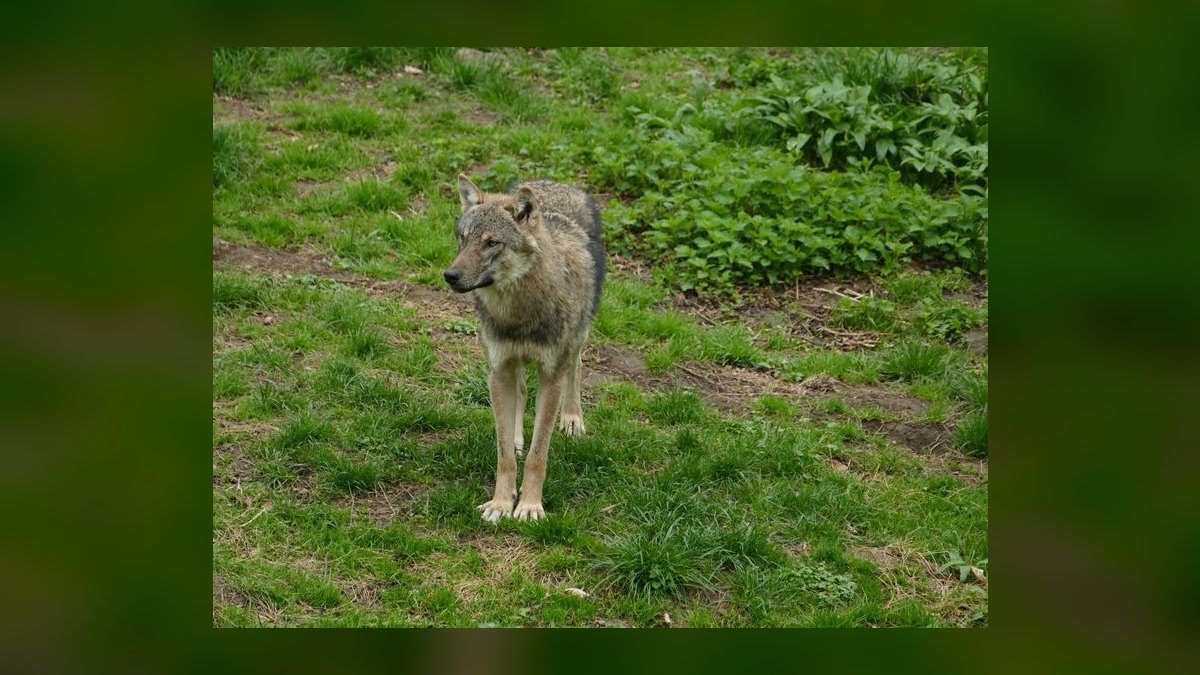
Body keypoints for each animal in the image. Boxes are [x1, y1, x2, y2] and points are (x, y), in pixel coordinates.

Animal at [444, 173, 606, 522]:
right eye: (463, 238)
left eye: (492, 243)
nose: (449, 275)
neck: (519, 314)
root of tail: (554, 183)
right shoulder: (498, 370)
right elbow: (504, 453)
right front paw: (501, 503)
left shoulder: (551, 376)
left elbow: (538, 455)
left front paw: (530, 506)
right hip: (511, 364)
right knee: (520, 391)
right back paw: (519, 437)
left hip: (577, 338)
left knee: (576, 367)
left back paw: (572, 419)